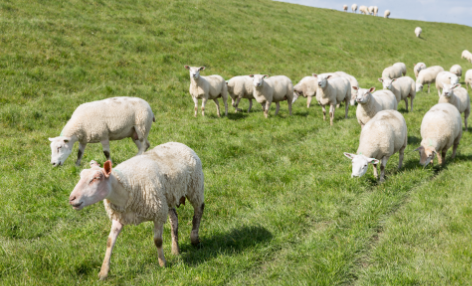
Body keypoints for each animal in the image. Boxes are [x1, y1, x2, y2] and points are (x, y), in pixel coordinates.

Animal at [68, 142, 205, 280]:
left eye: (96, 178)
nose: (72, 198)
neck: (126, 188)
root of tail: (177, 143)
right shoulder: (119, 218)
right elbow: (110, 242)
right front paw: (103, 272)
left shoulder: (157, 213)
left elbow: (158, 241)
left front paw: (162, 263)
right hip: (167, 198)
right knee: (174, 219)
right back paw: (175, 249)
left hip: (195, 187)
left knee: (199, 210)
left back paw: (194, 239)